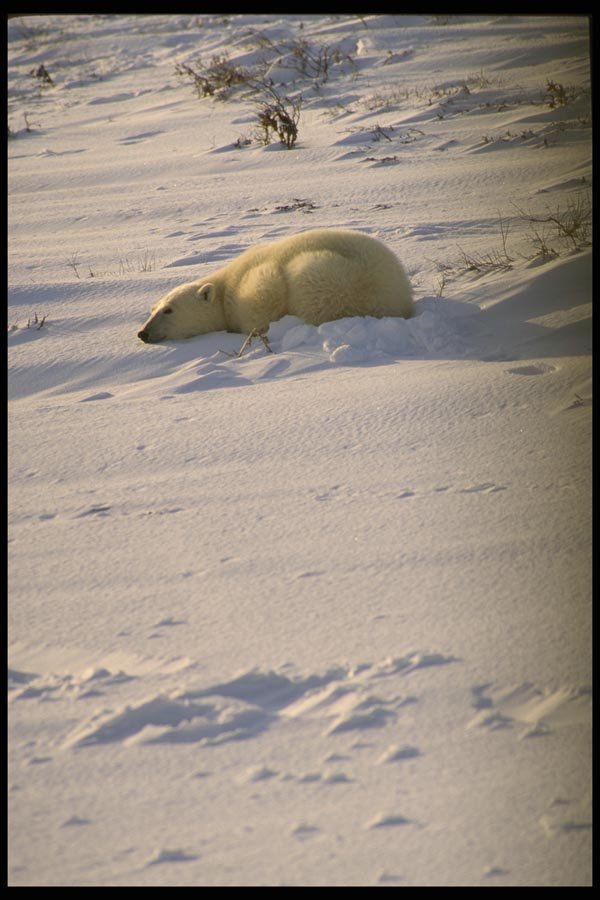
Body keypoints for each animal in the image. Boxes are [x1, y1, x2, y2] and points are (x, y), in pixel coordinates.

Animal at [137, 228, 414, 344]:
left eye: (169, 310)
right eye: (152, 309)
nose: (143, 333)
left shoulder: (255, 280)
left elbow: (262, 297)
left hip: (334, 278)